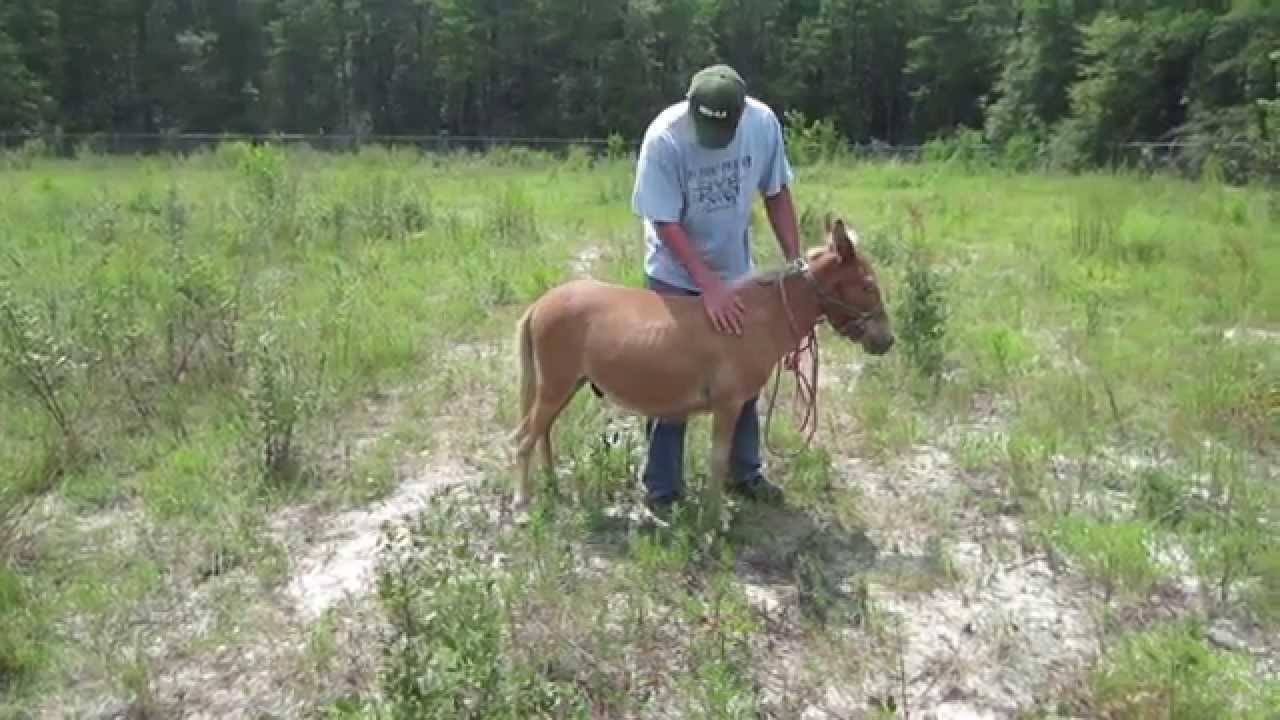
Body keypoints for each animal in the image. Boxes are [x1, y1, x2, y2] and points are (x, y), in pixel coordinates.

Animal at [509, 217, 894, 524]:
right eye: (868, 285)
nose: (887, 341)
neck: (756, 320)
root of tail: (540, 304)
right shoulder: (727, 404)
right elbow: (718, 461)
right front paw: (715, 519)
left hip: (566, 385)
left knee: (542, 433)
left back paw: (552, 485)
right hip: (556, 386)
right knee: (524, 440)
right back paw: (523, 502)